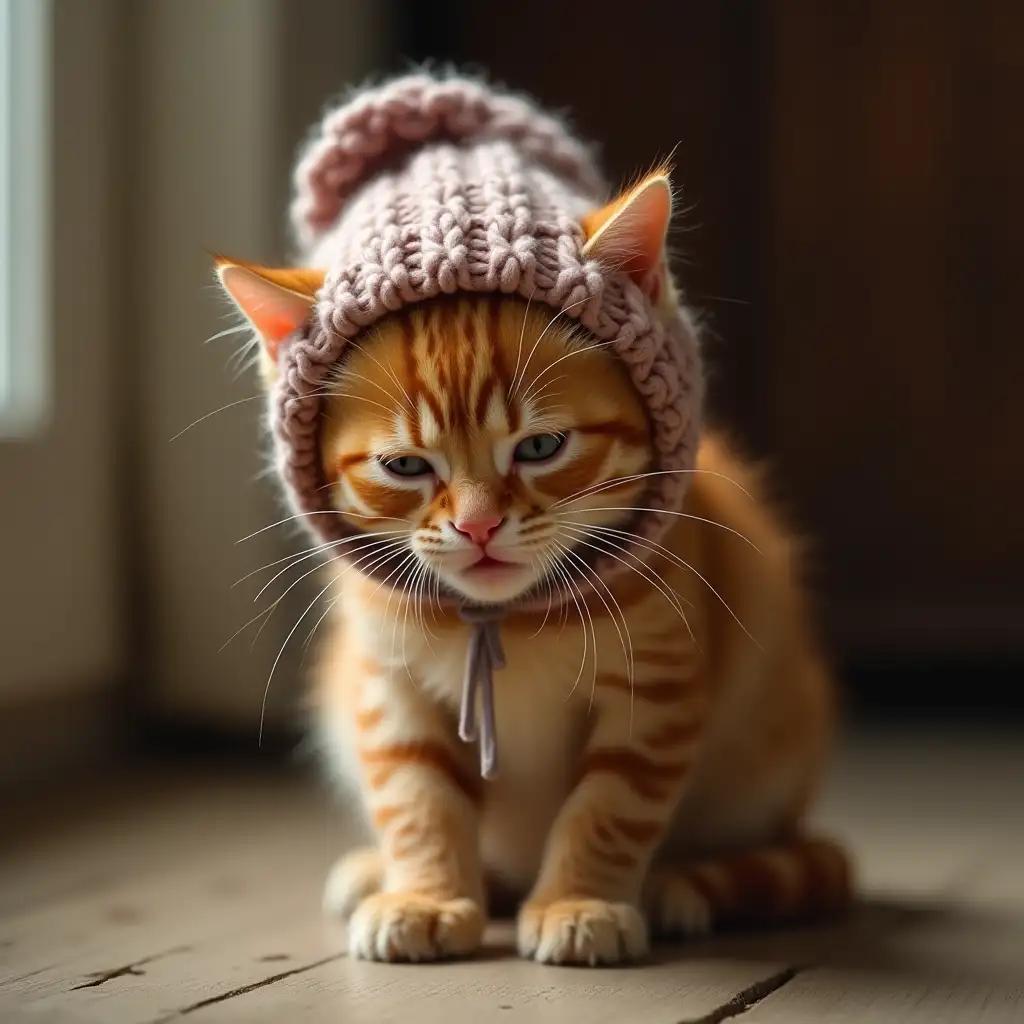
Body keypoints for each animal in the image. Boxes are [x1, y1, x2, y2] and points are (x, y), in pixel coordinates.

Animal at [214, 97, 847, 966]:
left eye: (541, 449)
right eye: (406, 467)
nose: (479, 526)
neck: (508, 619)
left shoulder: (656, 691)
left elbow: (608, 806)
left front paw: (580, 902)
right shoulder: (388, 687)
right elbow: (416, 797)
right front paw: (426, 894)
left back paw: (680, 886)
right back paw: (379, 872)